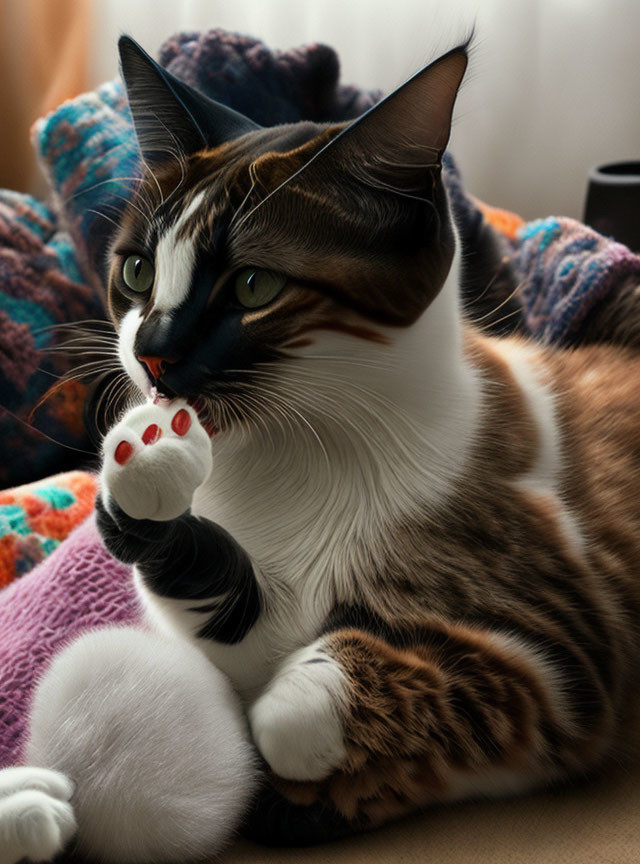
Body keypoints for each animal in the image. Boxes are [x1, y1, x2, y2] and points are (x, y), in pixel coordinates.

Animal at [1, 30, 640, 860]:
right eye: (137, 271)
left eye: (253, 287)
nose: (152, 352)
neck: (291, 451)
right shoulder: (242, 624)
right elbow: (234, 624)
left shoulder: (568, 644)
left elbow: (292, 712)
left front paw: (320, 776)